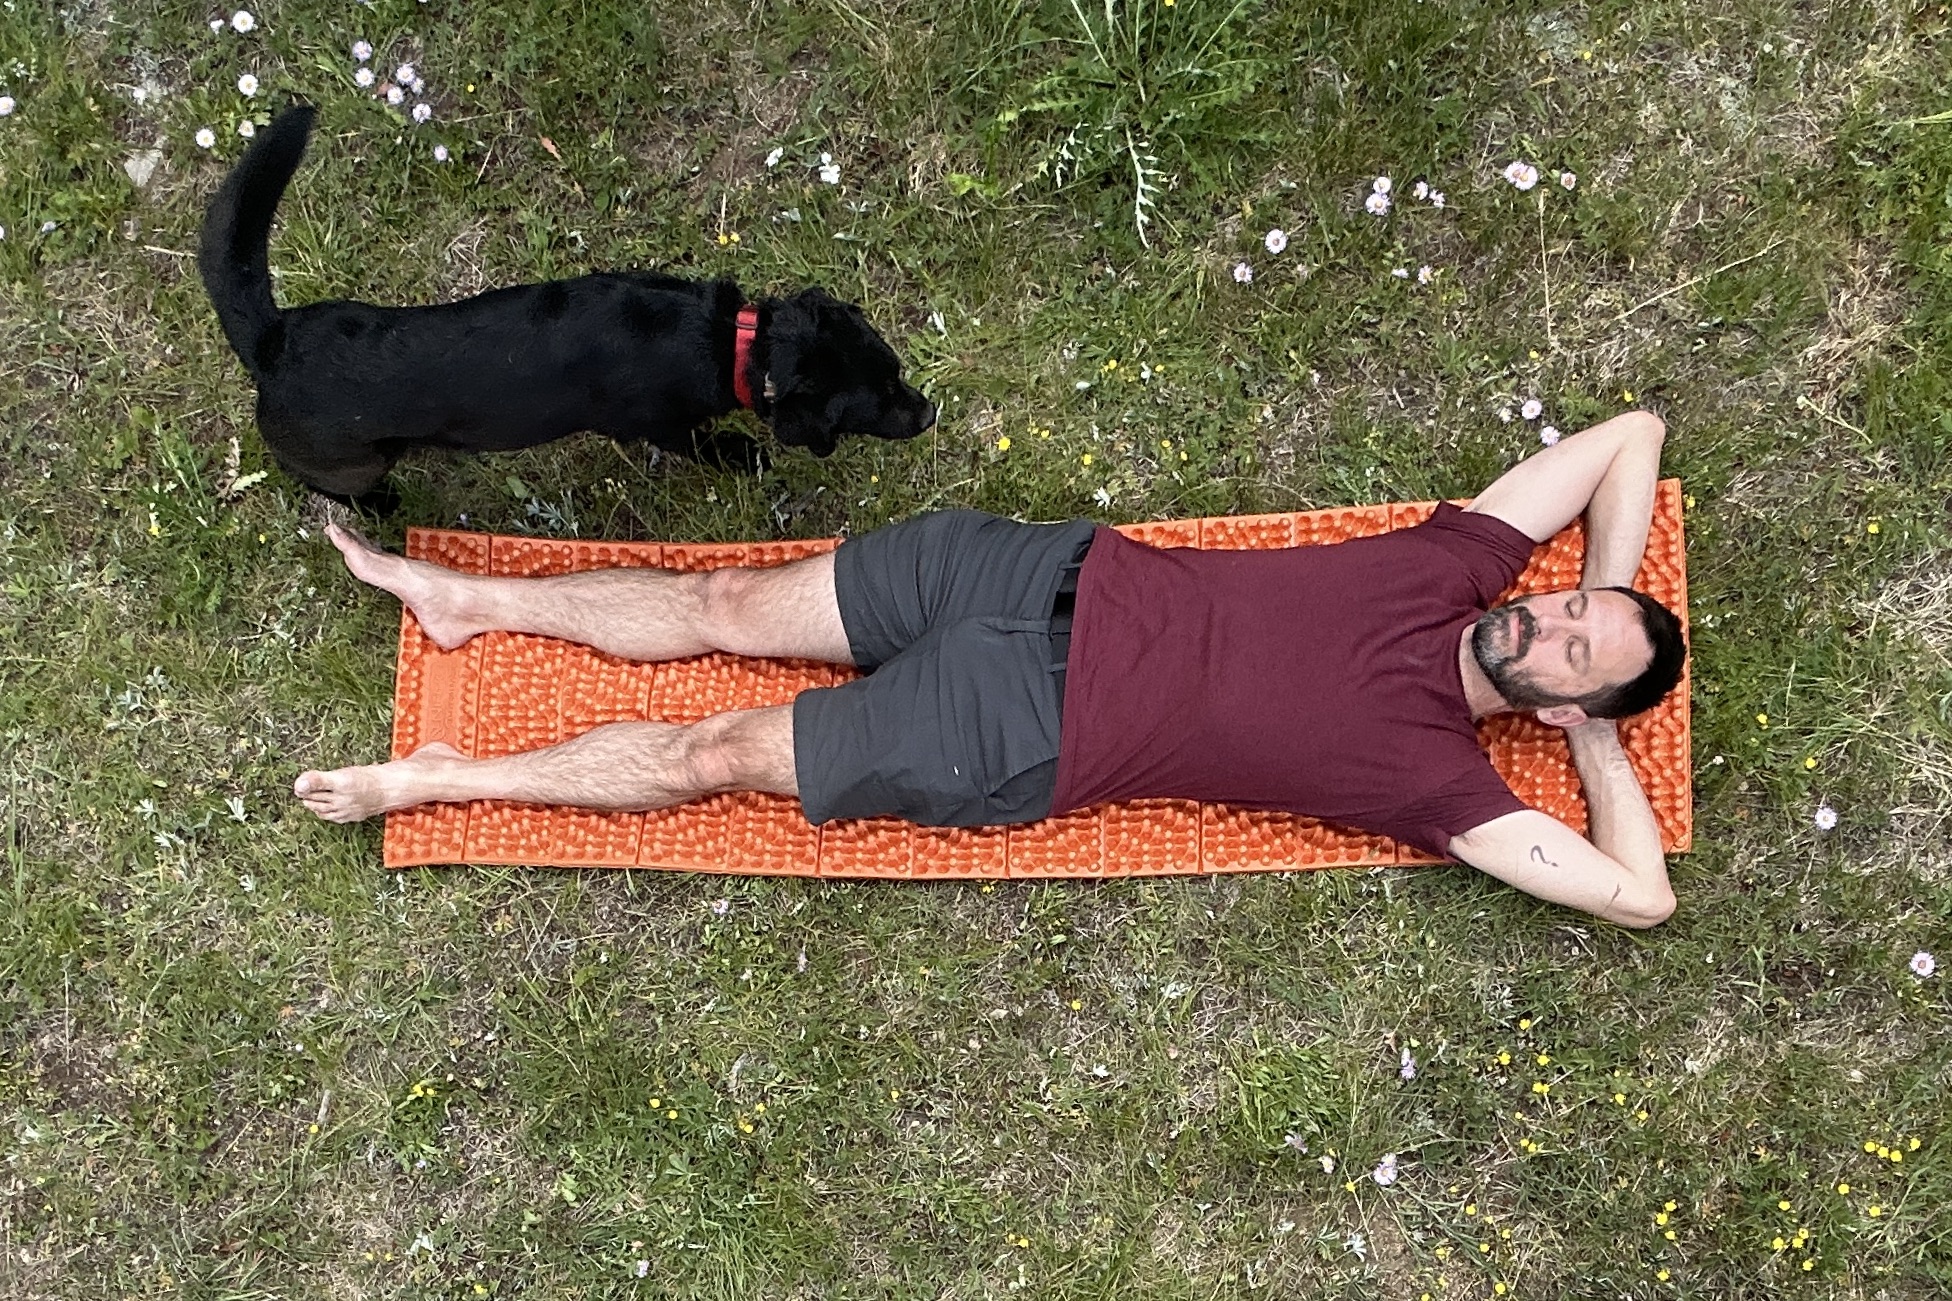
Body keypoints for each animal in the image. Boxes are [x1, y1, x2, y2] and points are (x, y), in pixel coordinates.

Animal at [198, 106, 936, 503]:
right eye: (880, 396)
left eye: (897, 371)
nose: (929, 414)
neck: (731, 341)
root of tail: (270, 343)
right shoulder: (661, 425)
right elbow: (707, 444)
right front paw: (743, 457)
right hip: (351, 462)